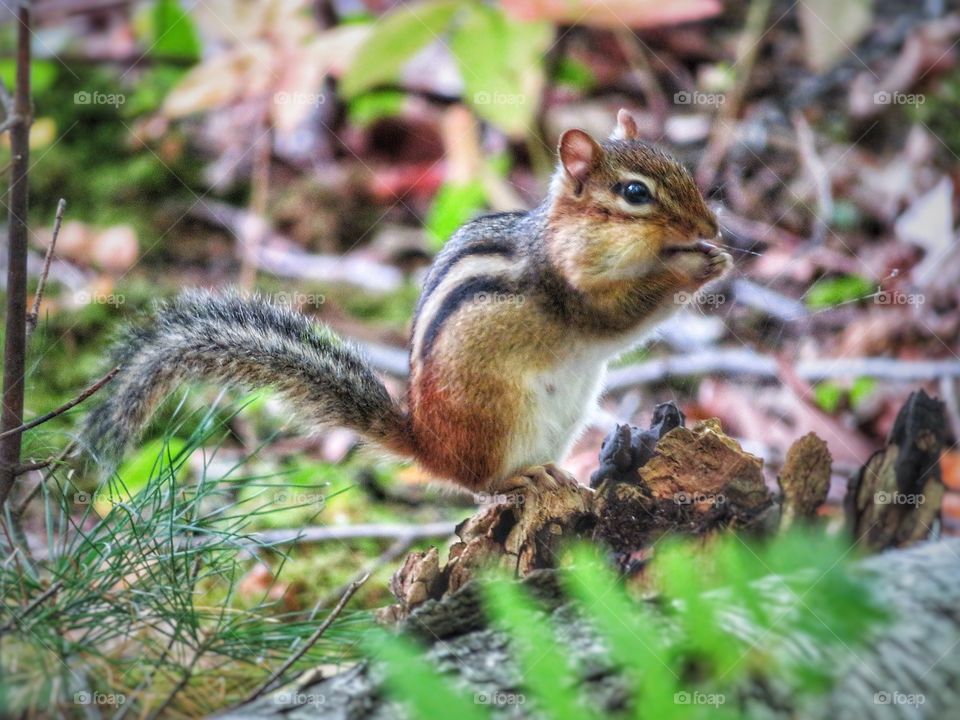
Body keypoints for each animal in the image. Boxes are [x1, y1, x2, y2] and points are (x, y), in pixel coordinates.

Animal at [81, 109, 731, 494]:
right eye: (635, 193)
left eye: (683, 169)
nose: (712, 227)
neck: (563, 236)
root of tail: (429, 445)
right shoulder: (571, 290)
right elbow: (621, 317)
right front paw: (695, 267)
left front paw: (713, 256)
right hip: (500, 418)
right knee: (481, 486)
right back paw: (520, 479)